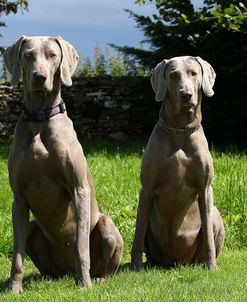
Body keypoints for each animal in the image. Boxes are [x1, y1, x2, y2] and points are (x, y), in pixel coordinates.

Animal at [3, 34, 123, 292]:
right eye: (28, 55)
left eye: (52, 55)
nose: (39, 76)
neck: (40, 119)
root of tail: (66, 272)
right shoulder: (18, 198)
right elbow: (16, 254)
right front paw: (15, 287)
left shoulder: (79, 190)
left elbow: (80, 246)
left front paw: (84, 283)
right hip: (33, 228)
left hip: (106, 225)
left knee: (104, 262)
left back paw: (96, 277)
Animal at [132, 55, 225, 270]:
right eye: (173, 75)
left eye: (193, 73)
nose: (186, 95)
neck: (180, 130)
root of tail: (175, 262)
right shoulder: (146, 189)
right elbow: (138, 234)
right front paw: (135, 265)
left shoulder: (205, 188)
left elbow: (208, 234)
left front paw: (212, 266)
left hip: (215, 214)